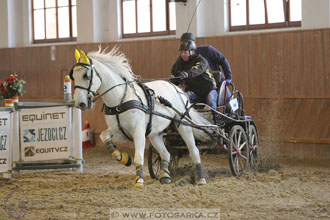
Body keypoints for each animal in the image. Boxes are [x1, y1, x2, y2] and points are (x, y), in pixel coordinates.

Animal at [71, 47, 213, 186]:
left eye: (86, 75)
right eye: (73, 76)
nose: (80, 103)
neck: (120, 100)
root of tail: (177, 89)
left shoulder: (138, 131)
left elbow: (138, 156)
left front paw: (139, 180)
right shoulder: (120, 133)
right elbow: (104, 136)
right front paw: (124, 158)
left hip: (183, 126)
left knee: (194, 151)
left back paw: (201, 179)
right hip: (155, 134)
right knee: (165, 154)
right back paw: (165, 176)